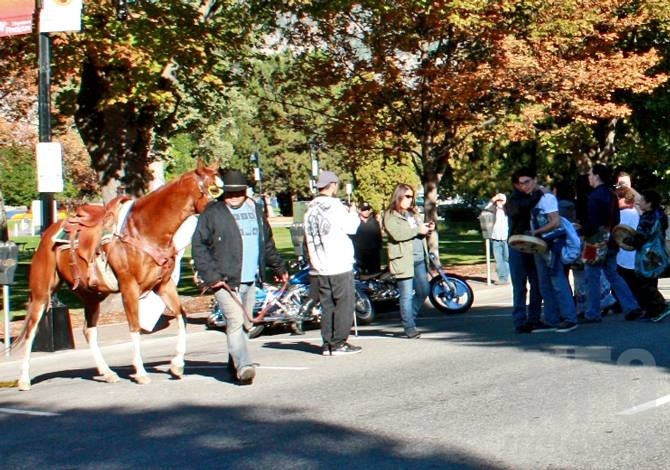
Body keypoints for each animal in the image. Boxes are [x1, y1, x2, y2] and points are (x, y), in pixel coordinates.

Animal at [15, 162, 222, 390]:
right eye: (214, 189)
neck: (145, 229)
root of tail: (48, 234)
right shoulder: (129, 286)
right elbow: (135, 326)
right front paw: (140, 372)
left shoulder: (164, 285)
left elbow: (181, 316)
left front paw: (177, 365)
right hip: (42, 293)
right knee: (31, 330)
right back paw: (23, 379)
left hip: (90, 295)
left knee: (89, 331)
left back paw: (107, 372)